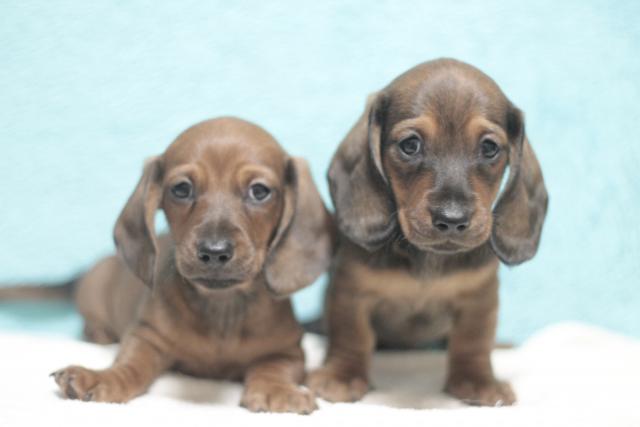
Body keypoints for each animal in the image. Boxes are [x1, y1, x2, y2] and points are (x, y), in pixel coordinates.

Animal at [44, 117, 332, 414]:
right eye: (182, 189)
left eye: (260, 191)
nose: (214, 251)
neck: (222, 307)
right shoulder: (147, 336)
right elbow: (131, 364)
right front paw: (101, 378)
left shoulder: (288, 350)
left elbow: (274, 367)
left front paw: (276, 390)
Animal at [308, 59, 548, 408]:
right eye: (411, 145)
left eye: (489, 148)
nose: (452, 218)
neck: (428, 259)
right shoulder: (350, 293)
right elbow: (352, 334)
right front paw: (342, 375)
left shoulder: (479, 298)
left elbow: (473, 340)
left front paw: (478, 380)